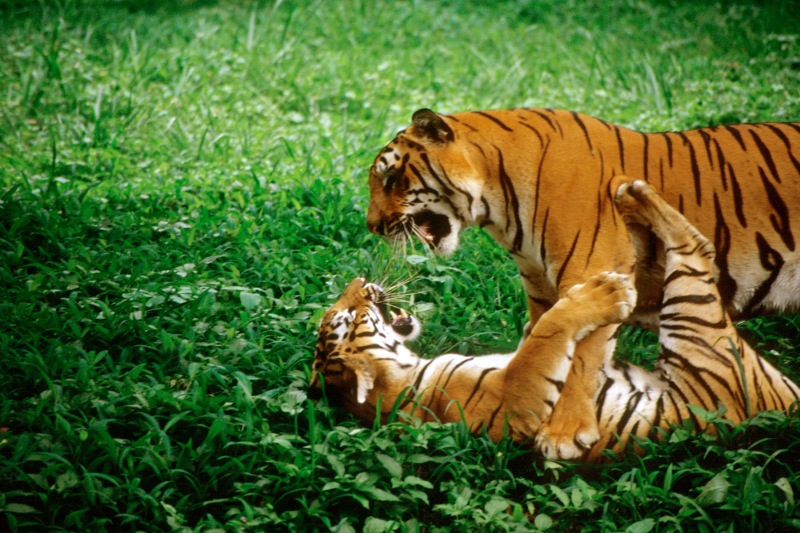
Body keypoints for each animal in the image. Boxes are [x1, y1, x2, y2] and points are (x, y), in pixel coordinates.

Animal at [364, 108, 800, 458]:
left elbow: (583, 355)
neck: (498, 203)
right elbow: (552, 337)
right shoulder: (541, 288)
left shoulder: (593, 267)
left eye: (391, 179)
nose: (372, 226)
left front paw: (563, 433)